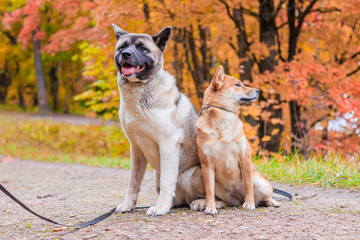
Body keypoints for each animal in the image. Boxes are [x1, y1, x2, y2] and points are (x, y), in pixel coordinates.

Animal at [111, 23, 204, 216]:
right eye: (122, 47)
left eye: (142, 48)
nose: (126, 54)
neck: (140, 91)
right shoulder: (136, 149)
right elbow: (133, 182)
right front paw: (128, 205)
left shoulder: (168, 144)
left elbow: (168, 181)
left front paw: (161, 207)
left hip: (188, 174)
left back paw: (201, 202)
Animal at [193, 66, 280, 216]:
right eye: (237, 85)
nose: (258, 91)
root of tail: (238, 198)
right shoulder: (207, 164)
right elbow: (209, 191)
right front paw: (210, 206)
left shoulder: (244, 158)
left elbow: (248, 186)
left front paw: (249, 203)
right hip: (219, 187)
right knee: (226, 200)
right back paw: (219, 203)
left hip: (261, 183)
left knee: (263, 196)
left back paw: (269, 201)